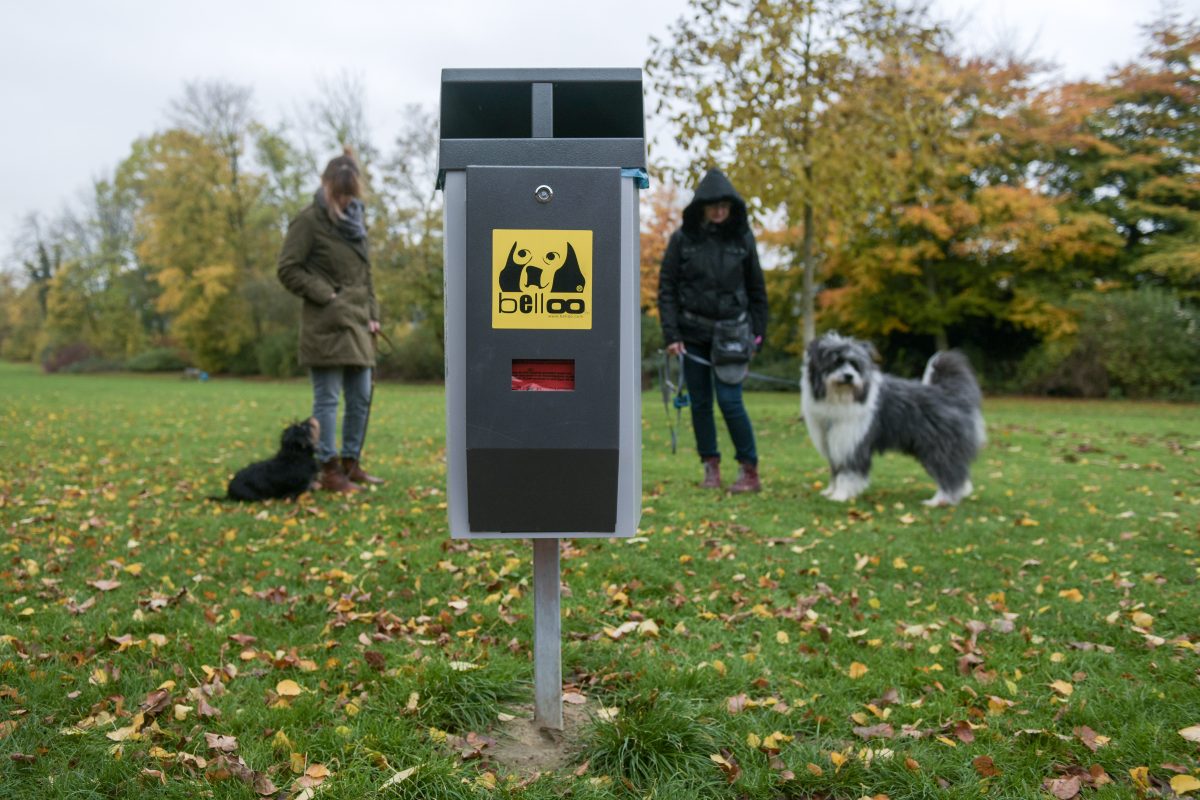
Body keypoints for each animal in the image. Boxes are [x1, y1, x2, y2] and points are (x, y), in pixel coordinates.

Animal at [806, 333, 984, 506]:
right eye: (836, 362)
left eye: (855, 365)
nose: (849, 376)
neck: (840, 397)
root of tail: (950, 393)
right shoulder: (834, 443)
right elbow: (835, 471)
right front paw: (829, 491)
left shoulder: (852, 442)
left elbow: (847, 473)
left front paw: (839, 496)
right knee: (959, 472)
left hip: (939, 447)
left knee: (949, 473)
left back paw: (938, 501)